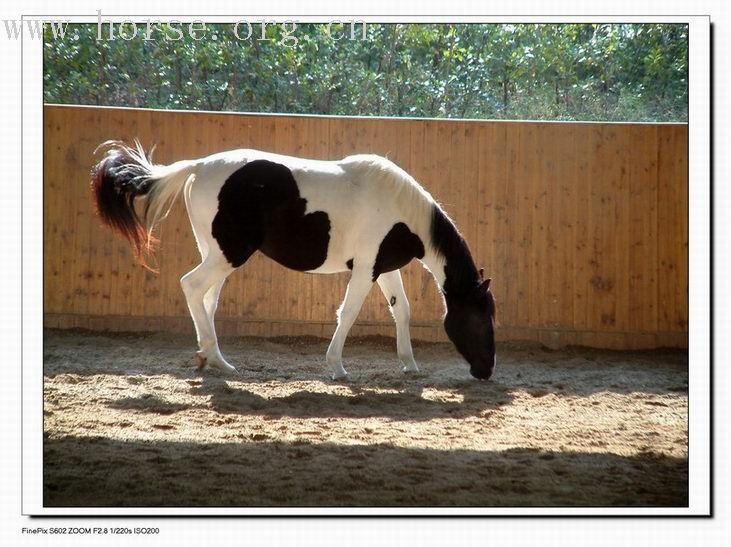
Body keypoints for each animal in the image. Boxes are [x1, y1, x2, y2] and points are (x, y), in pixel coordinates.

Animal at [91, 141, 498, 382]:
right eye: (480, 321)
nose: (487, 370)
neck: (401, 210)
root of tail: (199, 165)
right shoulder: (365, 269)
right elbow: (349, 313)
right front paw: (337, 367)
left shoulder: (383, 268)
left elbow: (402, 310)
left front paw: (409, 364)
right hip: (228, 255)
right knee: (191, 286)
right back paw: (216, 359)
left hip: (216, 253)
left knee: (207, 299)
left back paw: (213, 358)